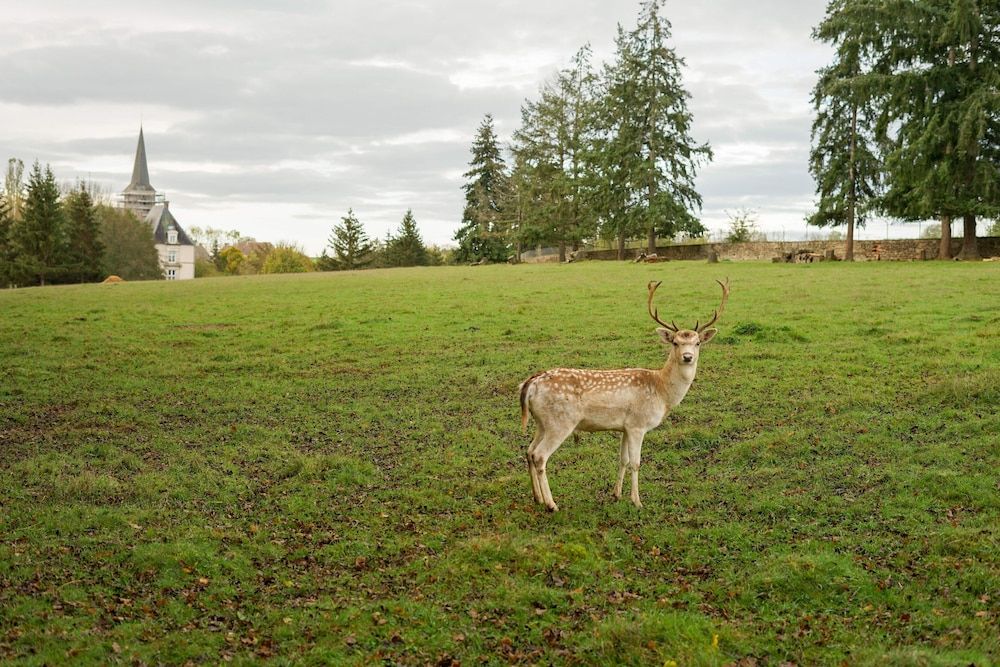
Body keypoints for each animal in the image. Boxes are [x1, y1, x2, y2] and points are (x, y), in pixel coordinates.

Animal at [520, 280, 732, 508]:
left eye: (697, 342)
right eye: (675, 342)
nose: (687, 356)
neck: (662, 390)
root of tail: (530, 384)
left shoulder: (625, 427)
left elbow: (622, 459)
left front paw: (616, 494)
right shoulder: (638, 424)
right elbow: (636, 463)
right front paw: (637, 501)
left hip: (542, 422)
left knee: (529, 451)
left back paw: (537, 498)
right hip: (560, 422)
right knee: (540, 455)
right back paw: (551, 505)